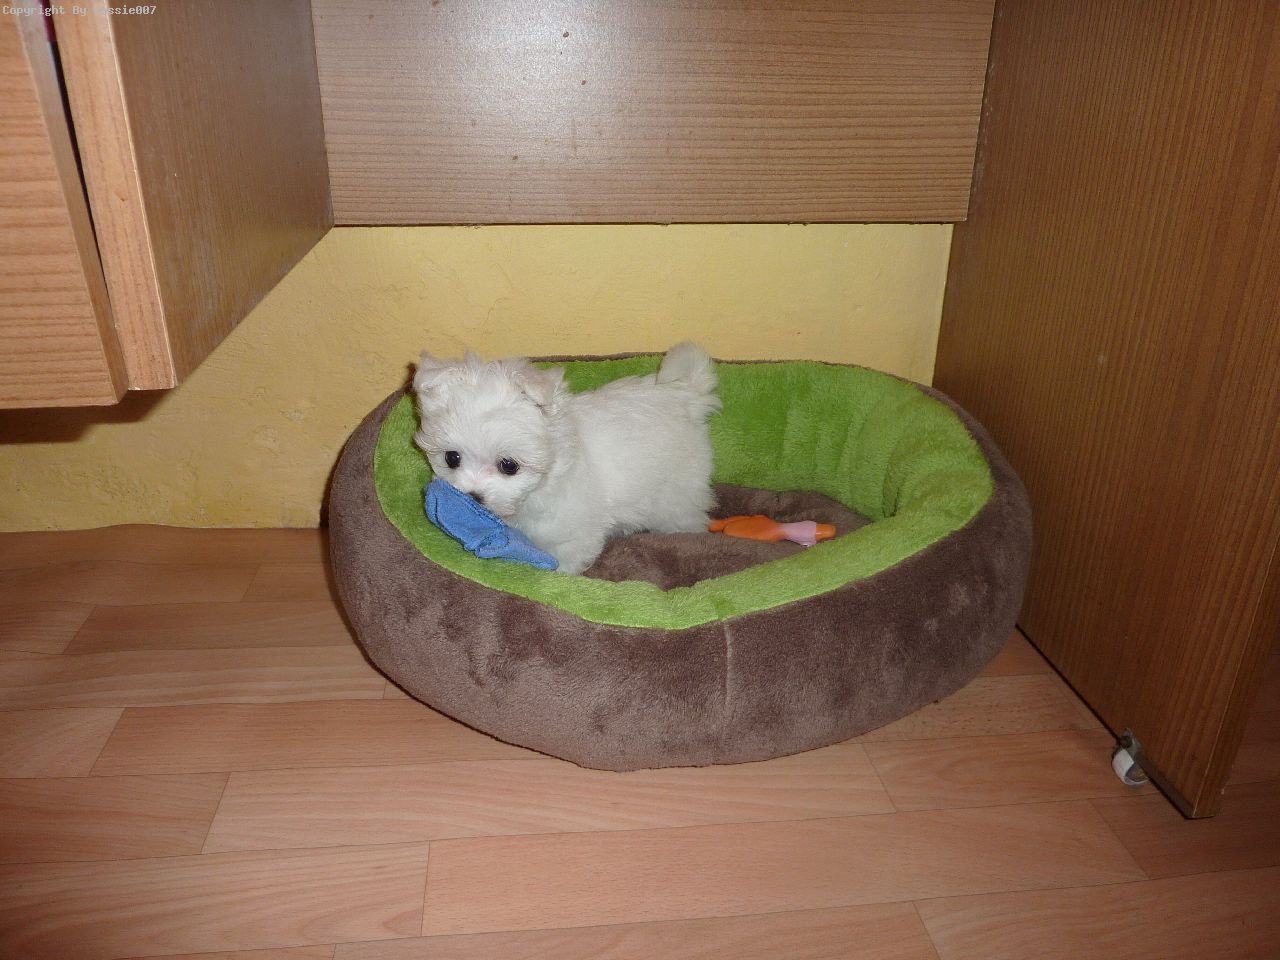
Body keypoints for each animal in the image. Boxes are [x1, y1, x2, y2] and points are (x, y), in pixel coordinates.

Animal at [412, 343, 721, 574]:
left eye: (509, 466)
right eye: (452, 458)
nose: (473, 497)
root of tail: (685, 396)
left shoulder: (572, 535)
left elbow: (563, 562)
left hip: (676, 497)